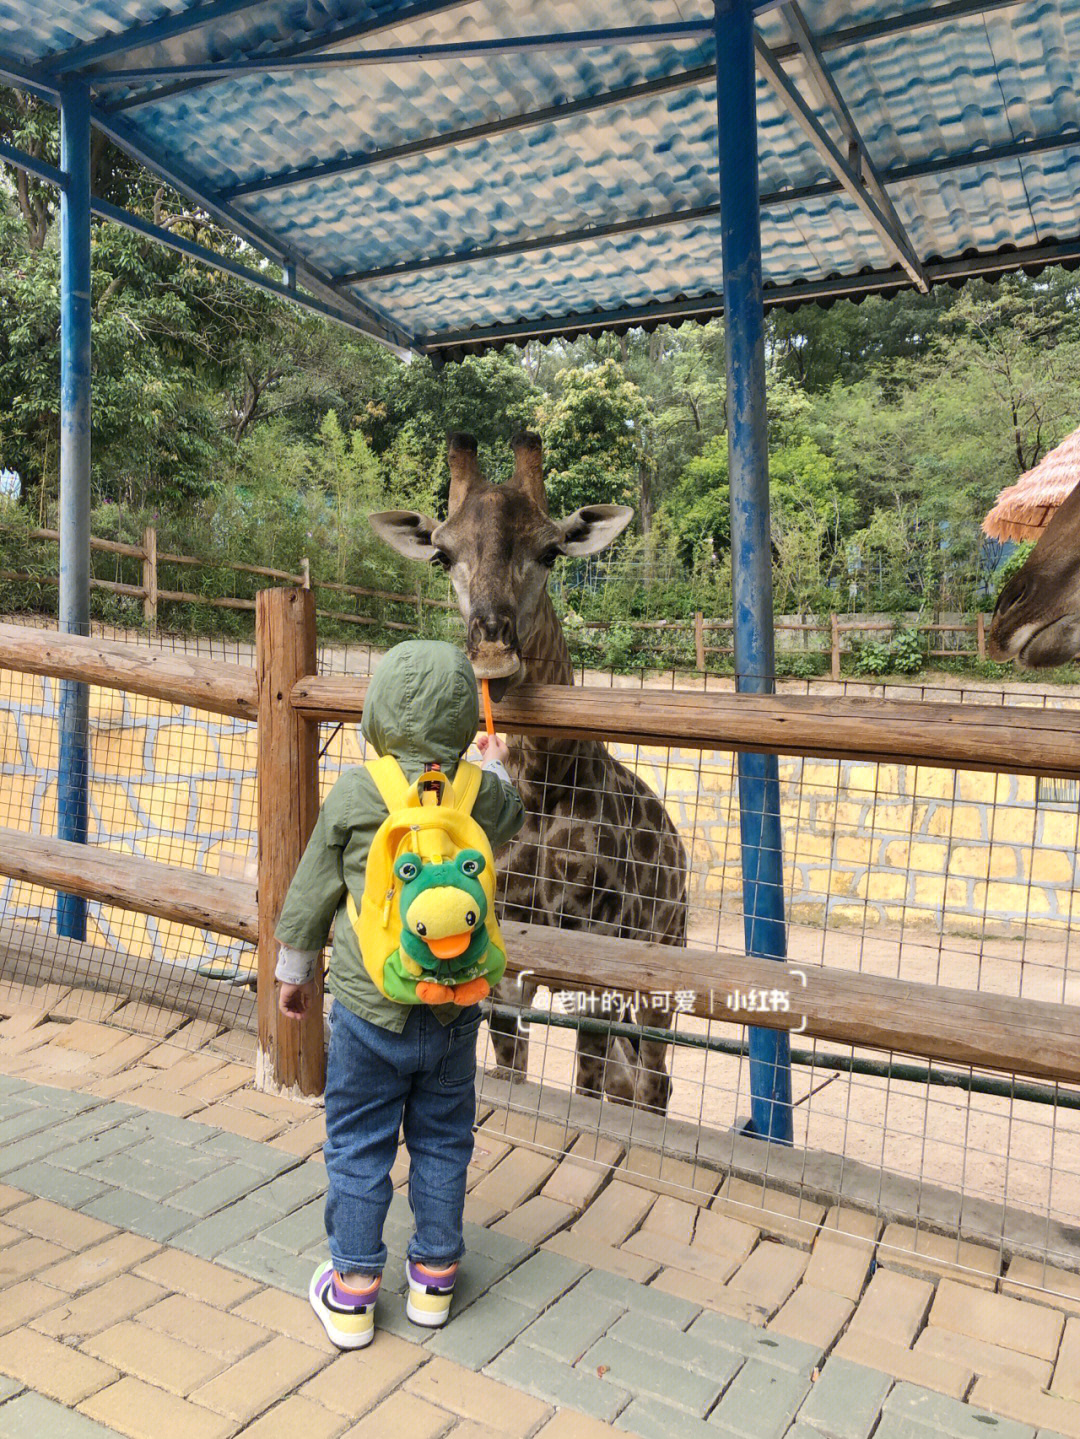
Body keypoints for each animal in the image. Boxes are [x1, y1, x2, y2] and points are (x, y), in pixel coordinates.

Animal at [371, 431, 687, 1105]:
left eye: (549, 551)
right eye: (441, 557)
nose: (491, 651)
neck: (541, 787)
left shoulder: (591, 948)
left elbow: (587, 1082)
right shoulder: (508, 954)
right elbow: (510, 1071)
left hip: (662, 961)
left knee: (652, 1081)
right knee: (634, 1075)